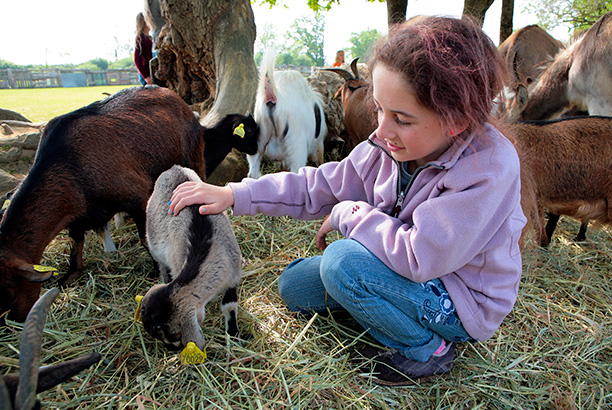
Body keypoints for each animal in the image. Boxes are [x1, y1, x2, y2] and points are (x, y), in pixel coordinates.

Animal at [0, 86, 258, 324]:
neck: (69, 165)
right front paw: (69, 278)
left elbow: (146, 237)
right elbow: (76, 246)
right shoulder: (78, 214)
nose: (14, 320)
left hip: (193, 158)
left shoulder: (139, 195)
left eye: (8, 291)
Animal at [140, 165, 243, 350]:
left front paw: (233, 335)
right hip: (153, 243)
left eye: (172, 333)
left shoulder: (234, 275)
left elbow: (229, 305)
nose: (171, 348)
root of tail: (174, 168)